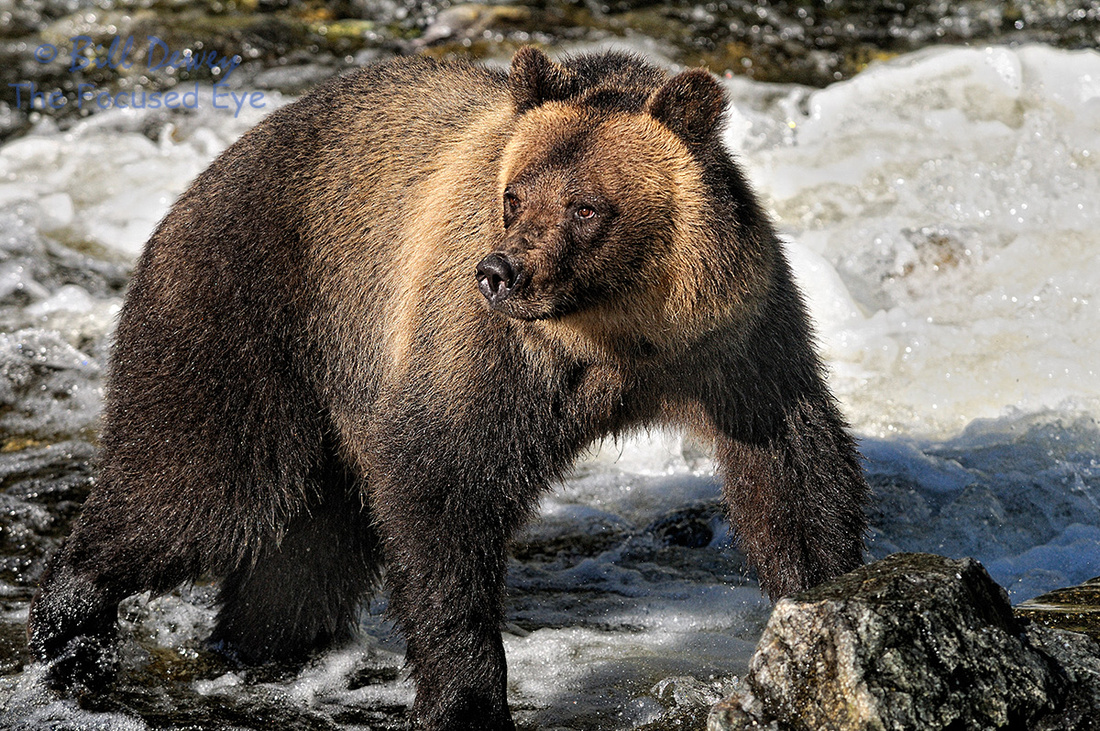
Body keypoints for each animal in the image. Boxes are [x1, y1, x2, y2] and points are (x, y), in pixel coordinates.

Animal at [27, 47, 869, 730]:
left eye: (586, 206)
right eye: (514, 196)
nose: (501, 272)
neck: (614, 334)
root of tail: (199, 183)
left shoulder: (734, 341)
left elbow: (792, 469)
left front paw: (824, 599)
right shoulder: (483, 354)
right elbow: (444, 490)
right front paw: (465, 695)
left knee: (305, 554)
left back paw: (262, 648)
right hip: (249, 310)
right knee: (196, 485)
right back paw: (66, 622)